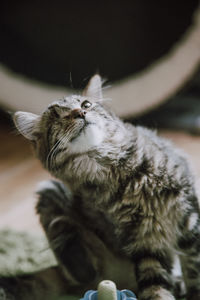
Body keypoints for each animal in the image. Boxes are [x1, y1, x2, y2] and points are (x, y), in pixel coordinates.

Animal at [0, 74, 200, 300]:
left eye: (85, 105)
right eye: (58, 116)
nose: (80, 113)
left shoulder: (189, 216)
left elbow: (194, 271)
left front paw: (194, 293)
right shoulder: (144, 240)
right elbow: (155, 288)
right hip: (49, 191)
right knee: (76, 267)